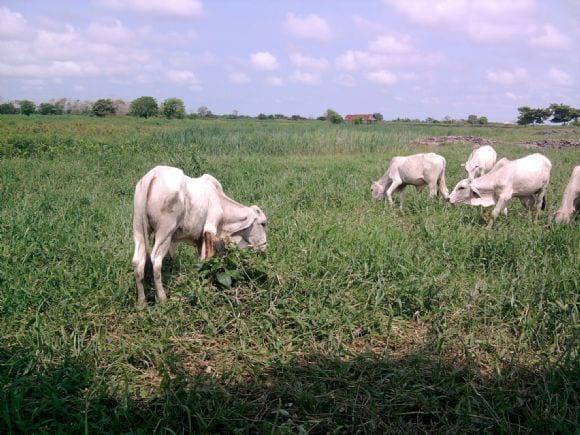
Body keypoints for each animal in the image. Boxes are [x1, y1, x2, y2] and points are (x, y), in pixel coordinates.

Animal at [132, 165, 268, 304]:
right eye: (263, 223)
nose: (264, 247)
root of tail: (153, 175)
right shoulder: (210, 228)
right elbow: (206, 258)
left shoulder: (199, 239)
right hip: (165, 232)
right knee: (156, 260)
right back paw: (162, 298)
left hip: (138, 228)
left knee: (138, 261)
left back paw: (142, 302)